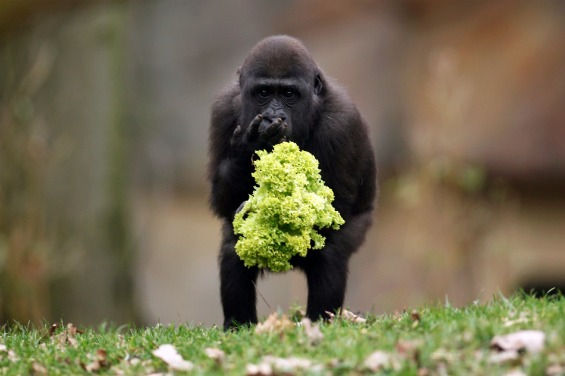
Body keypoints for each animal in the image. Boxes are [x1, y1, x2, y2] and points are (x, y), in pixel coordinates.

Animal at [207, 35, 374, 328]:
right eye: (263, 93)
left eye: (288, 94)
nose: (274, 114)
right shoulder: (223, 109)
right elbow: (223, 201)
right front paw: (248, 147)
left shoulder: (342, 124)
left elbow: (335, 208)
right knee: (232, 249)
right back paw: (239, 326)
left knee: (330, 252)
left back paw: (319, 321)